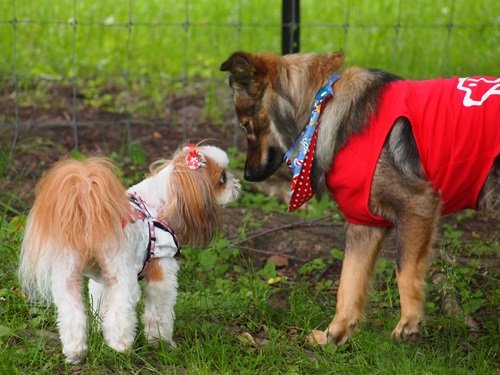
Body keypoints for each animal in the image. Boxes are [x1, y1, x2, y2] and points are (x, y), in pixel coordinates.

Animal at [17, 144, 240, 364]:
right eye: (222, 179)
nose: (237, 184)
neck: (160, 203)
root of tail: (88, 209)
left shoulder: (101, 280)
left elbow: (101, 305)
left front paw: (99, 329)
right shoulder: (162, 270)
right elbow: (159, 312)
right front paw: (161, 342)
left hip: (68, 273)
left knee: (71, 312)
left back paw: (75, 352)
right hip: (121, 273)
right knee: (121, 310)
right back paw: (120, 346)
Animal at [222, 51, 500, 348]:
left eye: (247, 126)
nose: (248, 175)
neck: (322, 108)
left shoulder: (419, 204)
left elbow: (404, 270)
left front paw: (409, 324)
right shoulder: (364, 224)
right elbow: (348, 285)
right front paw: (333, 335)